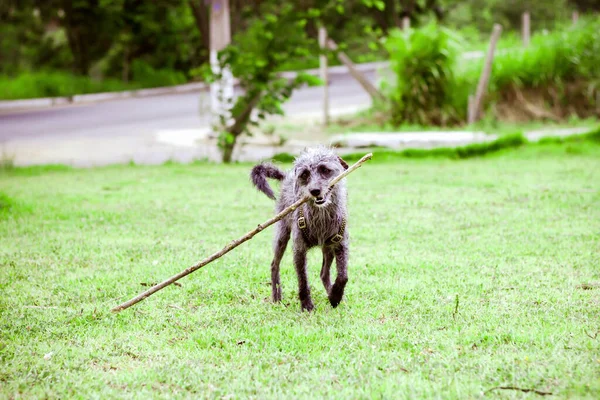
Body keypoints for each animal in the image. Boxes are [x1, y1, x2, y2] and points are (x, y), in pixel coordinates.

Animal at [250, 147, 352, 312]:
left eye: (325, 170)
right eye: (304, 174)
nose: (315, 191)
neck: (321, 216)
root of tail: (287, 177)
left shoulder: (340, 245)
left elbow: (343, 276)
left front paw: (336, 296)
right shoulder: (299, 250)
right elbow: (303, 280)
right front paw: (306, 305)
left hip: (328, 248)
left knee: (324, 273)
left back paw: (331, 293)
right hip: (282, 236)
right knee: (274, 265)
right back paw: (276, 296)